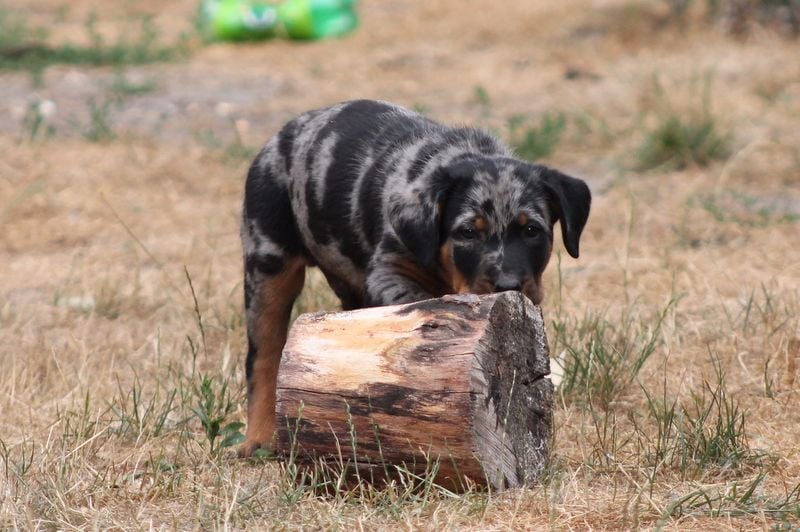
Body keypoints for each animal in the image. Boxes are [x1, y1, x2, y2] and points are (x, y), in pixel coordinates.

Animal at [238, 98, 588, 454]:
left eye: (532, 231)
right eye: (467, 233)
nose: (507, 285)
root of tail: (282, 134)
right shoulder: (387, 271)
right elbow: (418, 303)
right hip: (268, 261)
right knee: (262, 356)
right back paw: (259, 438)